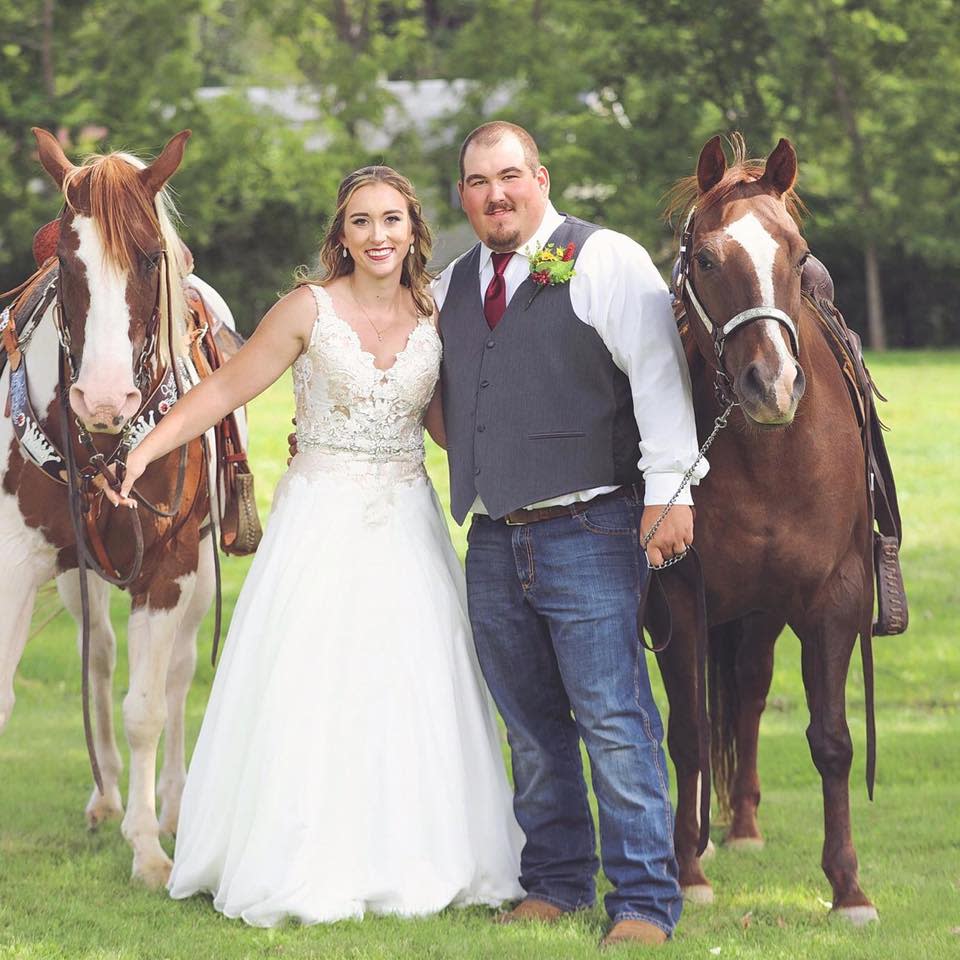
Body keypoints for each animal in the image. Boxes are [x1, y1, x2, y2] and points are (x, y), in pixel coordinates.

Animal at [0, 131, 214, 888]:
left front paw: (147, 847)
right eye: (67, 260)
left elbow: (146, 708)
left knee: (177, 675)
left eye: (150, 256)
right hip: (78, 573)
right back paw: (106, 795)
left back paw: (173, 806)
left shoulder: (171, 569)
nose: (102, 398)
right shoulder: (18, 561)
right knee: (97, 656)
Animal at [656, 135, 880, 924]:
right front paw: (688, 872)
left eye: (797, 251)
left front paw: (848, 887)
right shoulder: (678, 599)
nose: (772, 386)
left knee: (750, 689)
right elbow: (690, 734)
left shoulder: (833, 597)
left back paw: (745, 825)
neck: (768, 455)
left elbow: (833, 740)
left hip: (762, 611)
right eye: (704, 259)